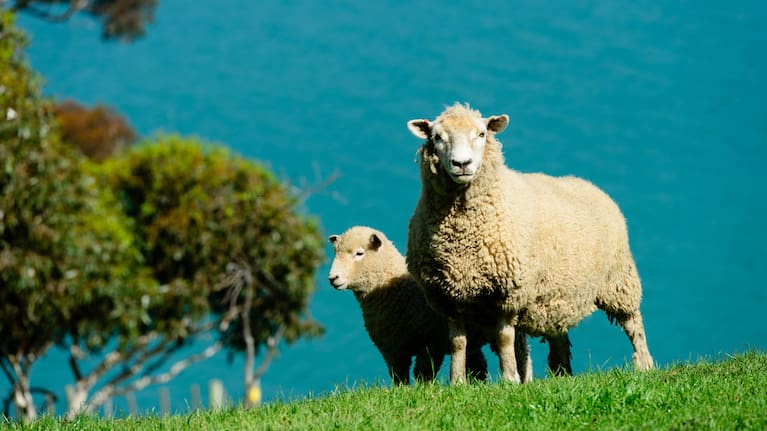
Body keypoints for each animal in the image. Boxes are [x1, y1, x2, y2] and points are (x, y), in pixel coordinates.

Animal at [328, 225, 534, 384]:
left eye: (359, 253)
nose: (333, 278)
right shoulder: (392, 350)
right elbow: (399, 378)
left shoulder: (430, 342)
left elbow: (423, 373)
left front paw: (425, 390)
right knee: (478, 363)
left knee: (521, 354)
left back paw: (525, 381)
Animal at [406, 103, 654, 384]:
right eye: (437, 137)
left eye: (481, 134)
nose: (462, 164)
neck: (462, 232)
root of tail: (588, 184)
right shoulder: (448, 295)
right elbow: (457, 342)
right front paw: (457, 382)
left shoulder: (508, 293)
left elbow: (504, 339)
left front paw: (509, 379)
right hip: (558, 296)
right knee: (559, 336)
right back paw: (562, 374)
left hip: (619, 280)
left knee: (633, 323)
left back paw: (644, 365)